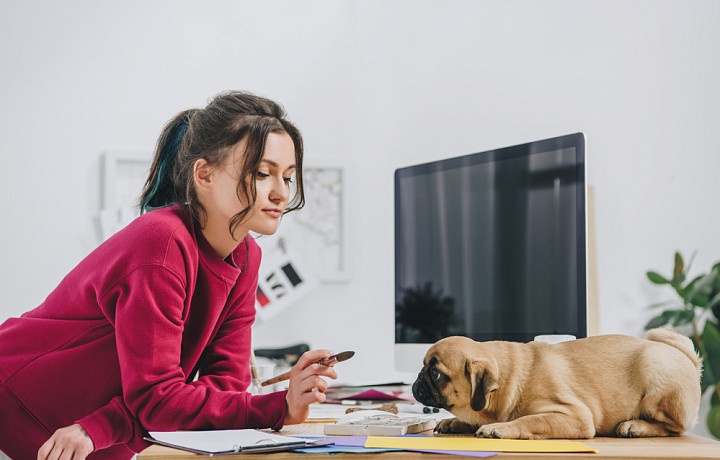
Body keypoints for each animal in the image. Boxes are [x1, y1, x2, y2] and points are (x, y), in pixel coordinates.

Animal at [414, 328, 700, 438]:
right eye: (424, 366)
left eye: (435, 373)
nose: (417, 379)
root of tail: (689, 360)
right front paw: (454, 422)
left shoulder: (574, 416)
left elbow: (529, 420)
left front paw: (499, 428)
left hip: (655, 374)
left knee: (675, 428)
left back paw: (636, 426)